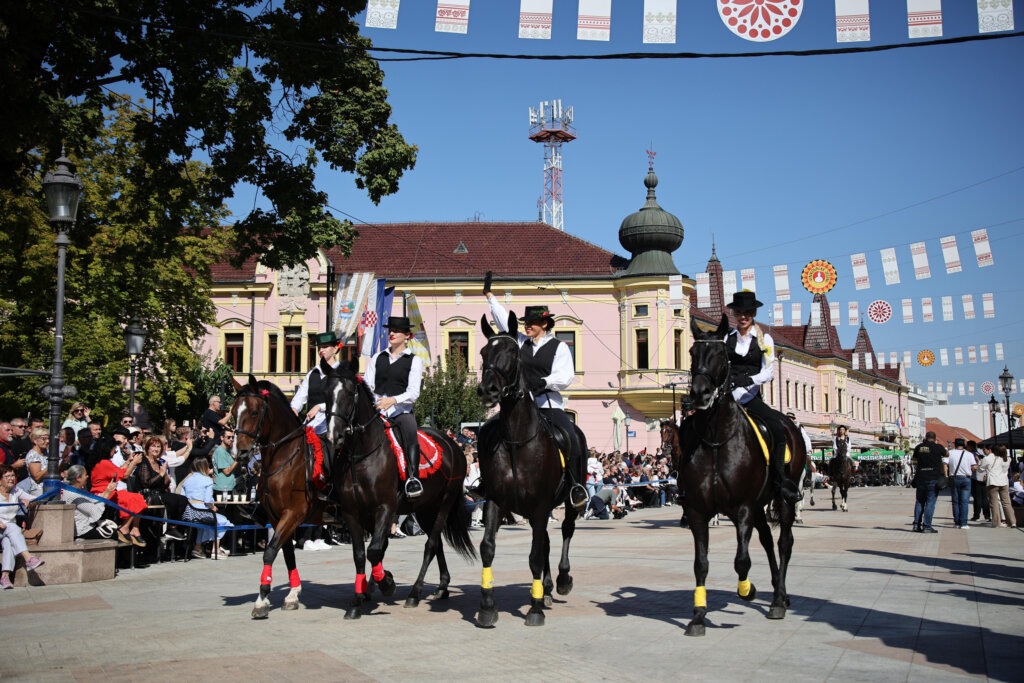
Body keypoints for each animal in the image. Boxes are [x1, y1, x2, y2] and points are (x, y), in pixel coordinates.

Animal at [231, 374, 319, 618]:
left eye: (254, 412)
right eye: (232, 412)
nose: (240, 452)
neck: (285, 459)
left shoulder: (294, 513)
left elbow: (270, 551)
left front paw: (262, 598)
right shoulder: (276, 515)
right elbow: (287, 552)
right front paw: (292, 594)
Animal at [319, 358, 475, 618]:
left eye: (350, 393)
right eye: (325, 394)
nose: (334, 436)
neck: (361, 456)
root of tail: (452, 444)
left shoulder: (386, 507)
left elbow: (375, 550)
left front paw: (386, 583)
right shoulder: (353, 511)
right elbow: (362, 553)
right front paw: (358, 599)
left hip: (444, 503)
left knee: (431, 544)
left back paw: (415, 593)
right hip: (424, 508)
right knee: (436, 543)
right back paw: (442, 587)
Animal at [473, 313, 585, 626]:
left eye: (512, 352)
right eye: (484, 352)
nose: (488, 390)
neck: (516, 441)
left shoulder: (540, 505)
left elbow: (535, 555)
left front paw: (534, 609)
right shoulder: (496, 502)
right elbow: (488, 548)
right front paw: (488, 605)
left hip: (567, 502)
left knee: (566, 531)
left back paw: (561, 580)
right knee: (545, 539)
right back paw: (545, 588)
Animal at [675, 317, 811, 638]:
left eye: (721, 354)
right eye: (692, 352)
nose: (699, 394)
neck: (716, 439)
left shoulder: (744, 508)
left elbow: (742, 560)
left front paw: (747, 591)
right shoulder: (697, 510)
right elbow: (701, 564)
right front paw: (698, 616)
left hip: (782, 500)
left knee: (784, 542)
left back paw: (778, 600)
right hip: (761, 506)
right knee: (767, 540)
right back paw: (779, 592)